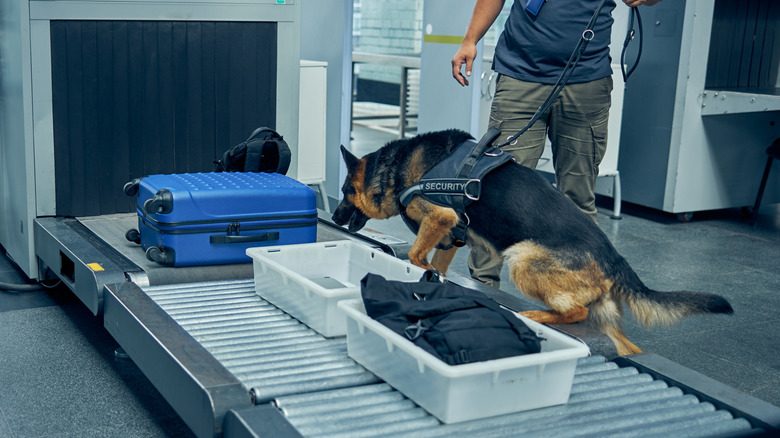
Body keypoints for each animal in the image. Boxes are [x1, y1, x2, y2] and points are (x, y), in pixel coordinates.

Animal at [332, 128, 736, 354]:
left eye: (345, 191)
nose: (334, 218)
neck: (397, 167)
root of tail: (614, 257)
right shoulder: (451, 235)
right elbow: (435, 260)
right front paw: (435, 278)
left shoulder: (440, 218)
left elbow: (417, 254)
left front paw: (418, 270)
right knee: (619, 341)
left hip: (522, 259)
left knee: (575, 312)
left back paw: (535, 315)